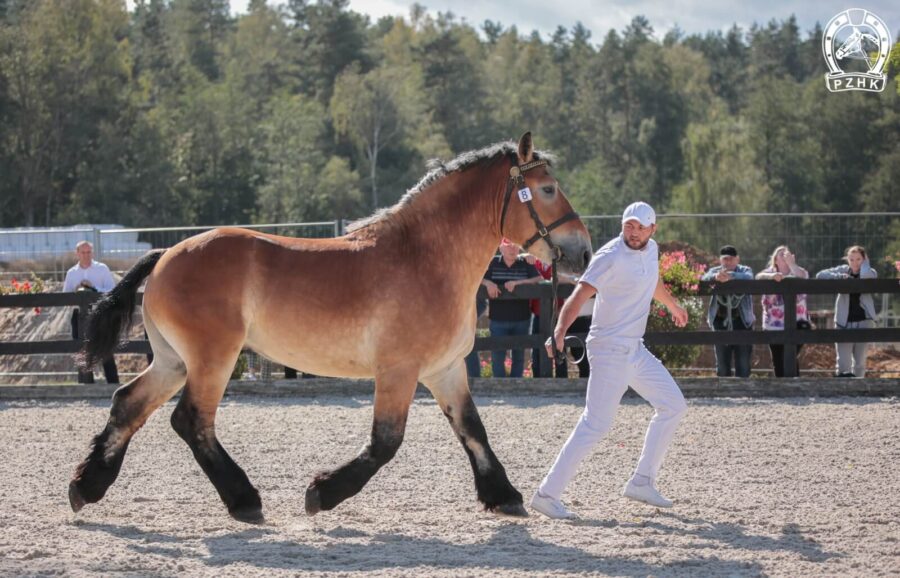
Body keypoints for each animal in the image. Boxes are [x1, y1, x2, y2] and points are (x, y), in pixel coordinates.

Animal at [68, 132, 592, 520]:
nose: (583, 250)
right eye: (547, 189)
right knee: (191, 420)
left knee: (129, 403)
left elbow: (472, 428)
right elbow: (386, 442)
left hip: (174, 360)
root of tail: (164, 256)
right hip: (212, 358)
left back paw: (86, 486)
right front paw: (321, 493)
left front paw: (503, 495)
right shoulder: (399, 370)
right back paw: (244, 500)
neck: (426, 259)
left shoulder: (445, 369)